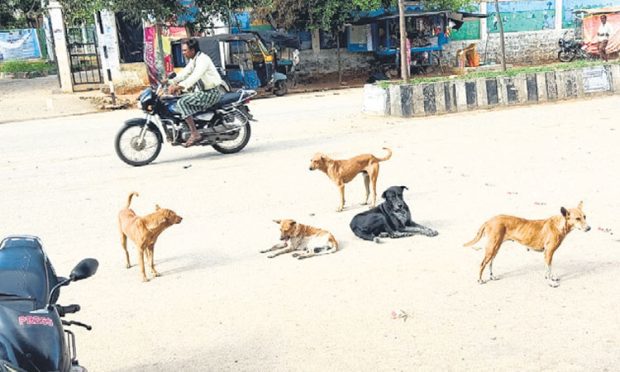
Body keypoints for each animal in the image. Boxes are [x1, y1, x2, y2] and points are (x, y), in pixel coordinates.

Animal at [464, 203, 592, 288]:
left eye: (585, 216)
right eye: (577, 218)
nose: (589, 228)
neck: (558, 225)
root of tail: (489, 220)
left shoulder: (547, 253)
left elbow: (548, 268)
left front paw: (550, 277)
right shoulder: (549, 252)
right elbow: (548, 268)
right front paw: (550, 282)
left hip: (495, 247)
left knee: (490, 262)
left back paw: (492, 276)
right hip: (492, 247)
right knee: (482, 264)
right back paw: (480, 280)